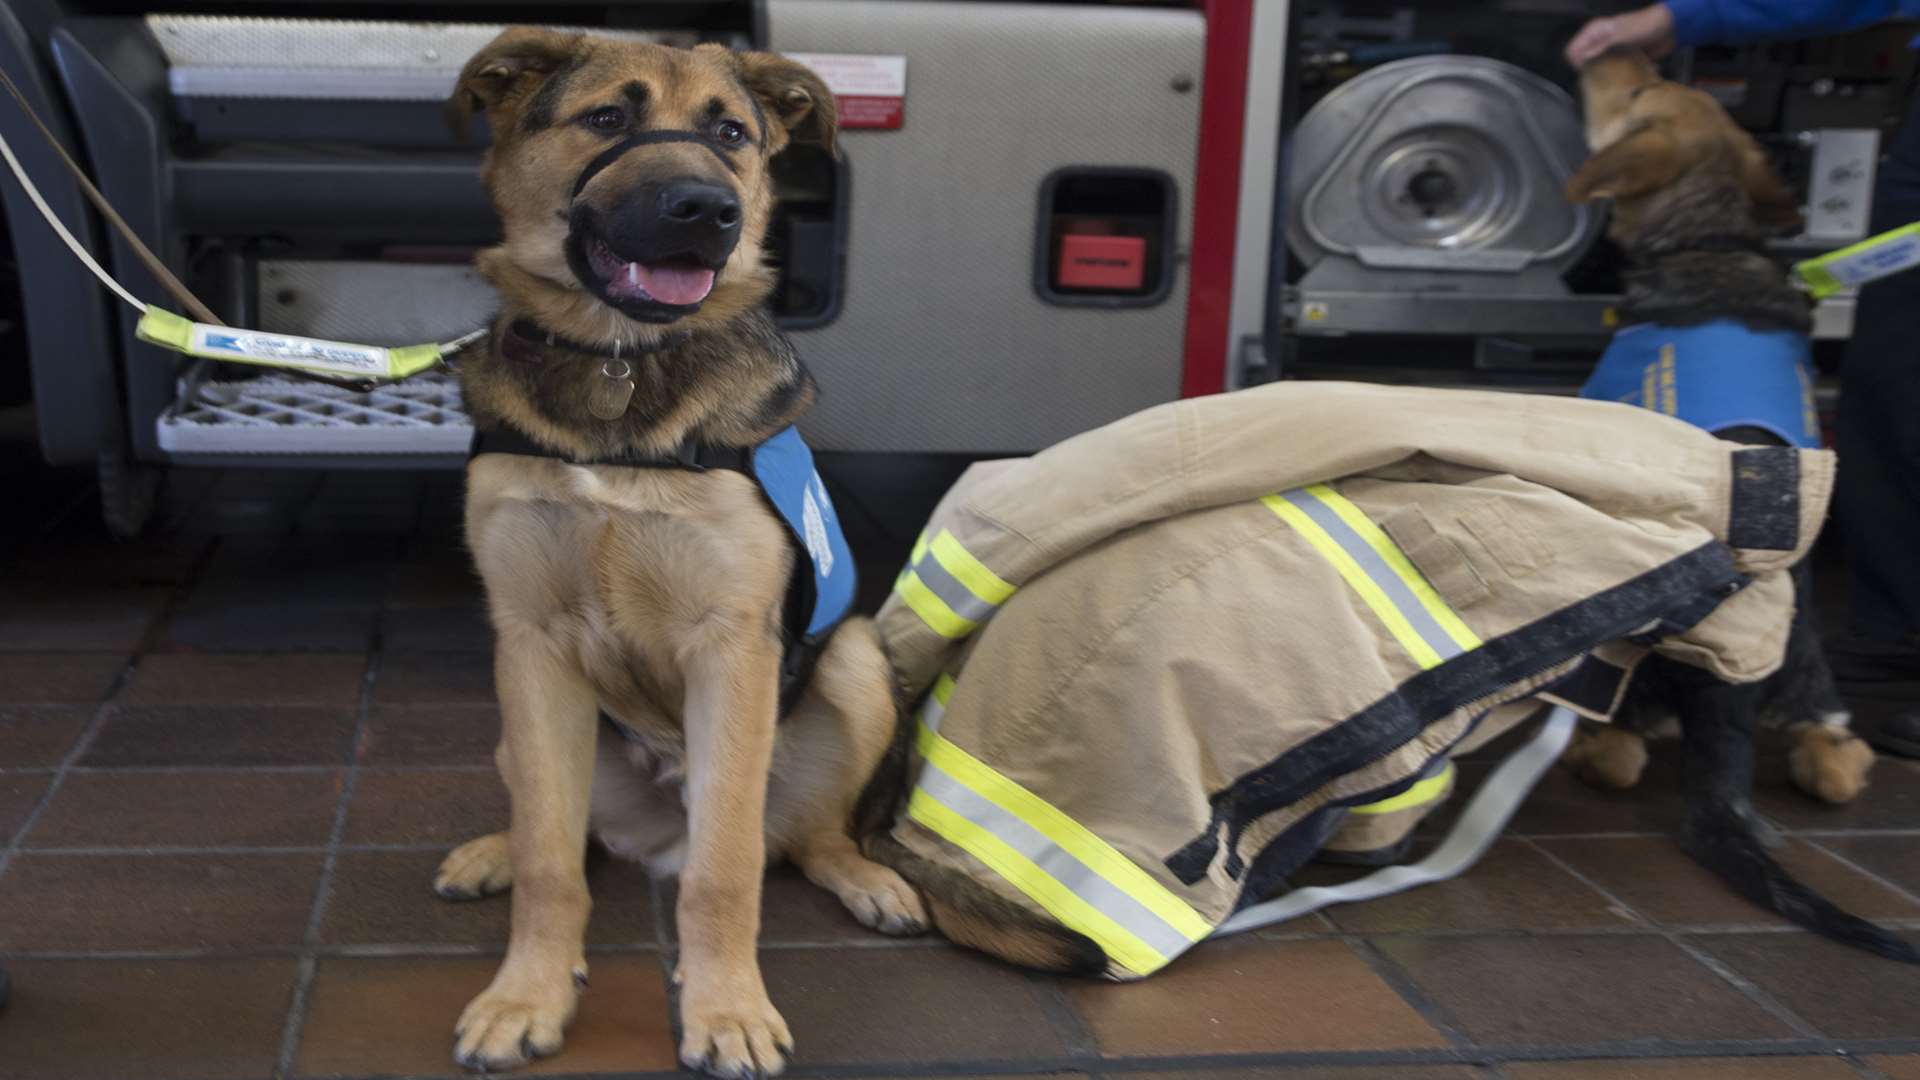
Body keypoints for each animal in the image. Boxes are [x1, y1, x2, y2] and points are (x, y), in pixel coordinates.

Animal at [433, 29, 921, 1068]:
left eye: (732, 133)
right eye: (606, 118)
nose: (709, 211)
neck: (619, 362)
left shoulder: (730, 649)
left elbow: (725, 870)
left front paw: (727, 1011)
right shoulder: (530, 642)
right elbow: (551, 860)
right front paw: (526, 995)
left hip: (855, 666)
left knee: (804, 838)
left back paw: (867, 879)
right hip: (515, 721)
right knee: (562, 833)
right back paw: (494, 853)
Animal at [1559, 50, 1873, 807]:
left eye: (1640, 91)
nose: (1608, 49)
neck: (1709, 238)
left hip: (1632, 686)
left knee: (1618, 754)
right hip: (1814, 686)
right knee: (1836, 763)